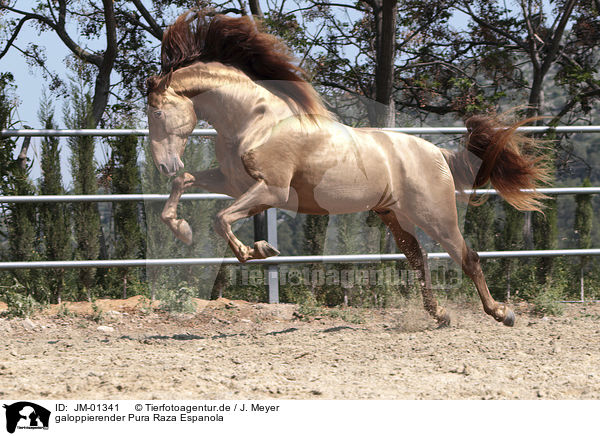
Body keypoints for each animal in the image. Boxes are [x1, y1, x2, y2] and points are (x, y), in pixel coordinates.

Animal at [145, 10, 548, 328]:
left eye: (158, 112)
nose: (164, 163)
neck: (256, 119)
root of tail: (439, 153)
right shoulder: (233, 181)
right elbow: (186, 183)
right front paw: (181, 229)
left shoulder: (271, 190)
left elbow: (221, 218)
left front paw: (259, 250)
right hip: (395, 215)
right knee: (418, 259)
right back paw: (441, 315)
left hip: (437, 214)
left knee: (468, 258)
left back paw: (502, 313)